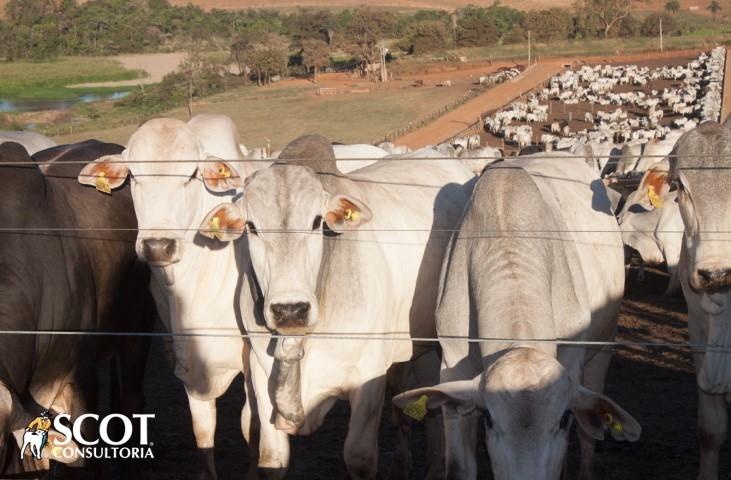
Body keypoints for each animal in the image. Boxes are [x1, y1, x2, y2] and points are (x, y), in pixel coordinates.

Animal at [77, 114, 258, 478]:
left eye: (191, 175)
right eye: (133, 175)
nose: (158, 246)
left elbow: (250, 426)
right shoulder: (189, 358)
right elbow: (203, 430)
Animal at [197, 134, 472, 476]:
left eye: (317, 222)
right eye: (251, 226)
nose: (290, 310)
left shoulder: (367, 379)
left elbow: (359, 456)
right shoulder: (260, 375)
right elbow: (271, 458)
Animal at [394, 153, 640, 476]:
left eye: (564, 419)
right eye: (489, 418)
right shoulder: (452, 368)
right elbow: (460, 466)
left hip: (604, 344)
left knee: (589, 437)